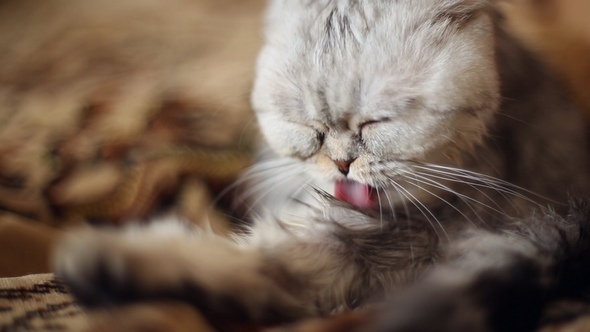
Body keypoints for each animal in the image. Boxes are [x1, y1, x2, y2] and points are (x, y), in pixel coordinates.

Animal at [53, 1, 590, 330]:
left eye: (376, 123)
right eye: (308, 127)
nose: (341, 164)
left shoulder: (371, 252)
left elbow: (233, 260)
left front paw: (111, 259)